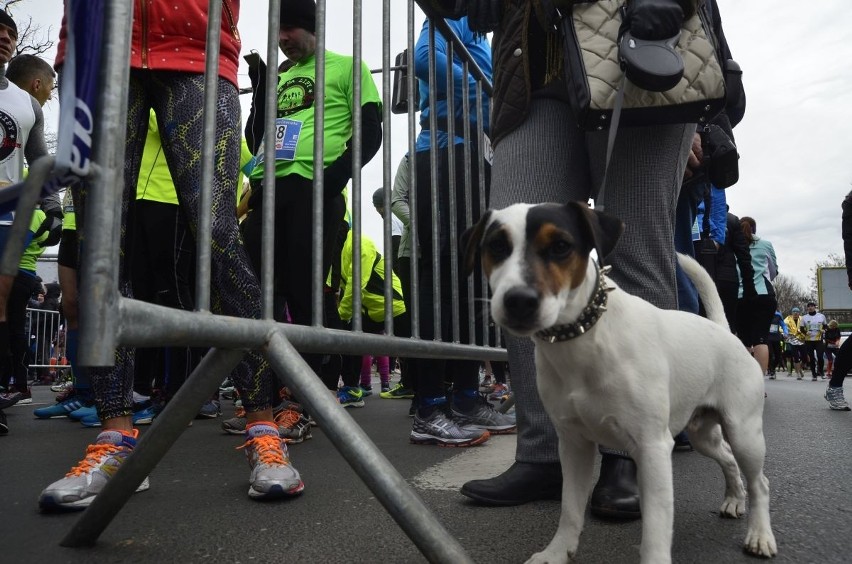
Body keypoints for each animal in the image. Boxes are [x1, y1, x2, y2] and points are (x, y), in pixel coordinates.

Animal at [462, 203, 776, 564]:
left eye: (561, 246)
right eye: (497, 246)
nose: (519, 301)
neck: (584, 340)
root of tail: (726, 333)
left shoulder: (653, 448)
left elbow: (655, 529)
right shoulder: (574, 445)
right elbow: (570, 509)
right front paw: (556, 552)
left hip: (744, 433)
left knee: (760, 482)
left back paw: (760, 535)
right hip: (702, 435)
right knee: (727, 458)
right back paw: (734, 499)